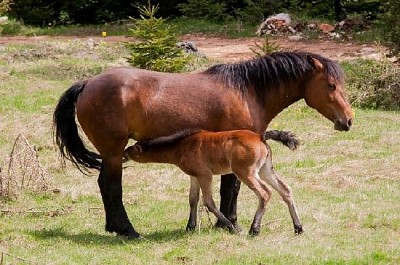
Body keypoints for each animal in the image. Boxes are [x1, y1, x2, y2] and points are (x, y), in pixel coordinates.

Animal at [53, 51, 354, 237]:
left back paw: (113, 227)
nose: (349, 120)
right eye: (331, 85)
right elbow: (230, 189)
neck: (247, 90)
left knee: (104, 185)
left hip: (110, 154)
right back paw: (128, 230)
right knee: (112, 187)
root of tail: (88, 83)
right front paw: (229, 222)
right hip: (115, 152)